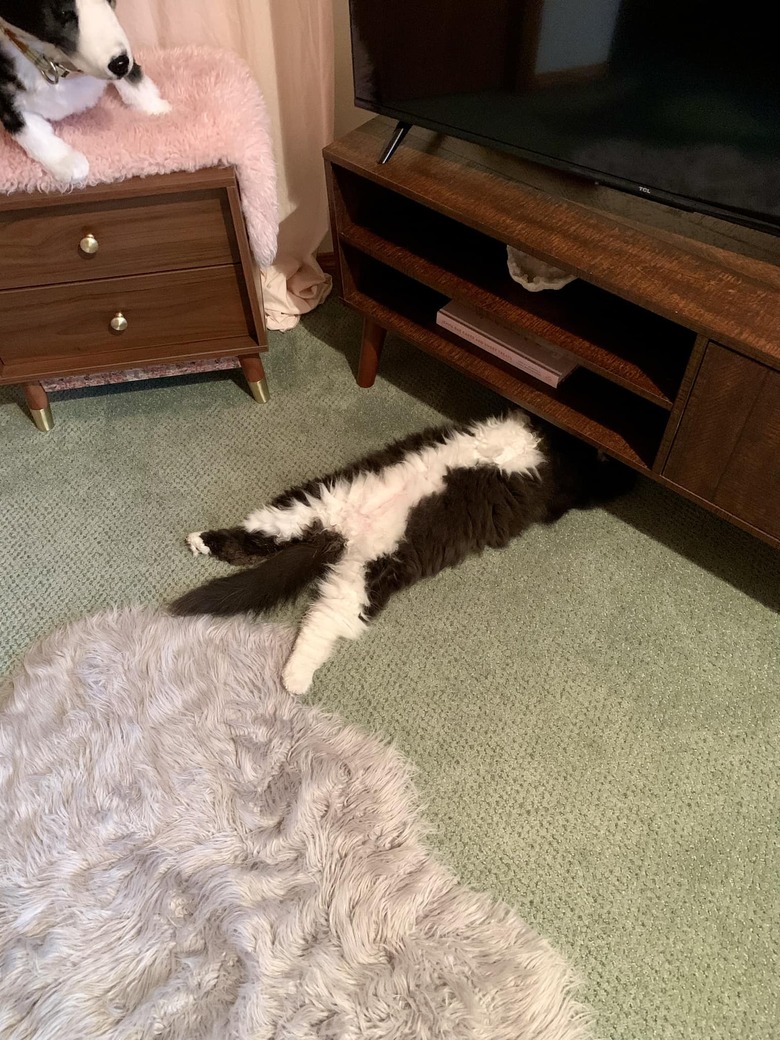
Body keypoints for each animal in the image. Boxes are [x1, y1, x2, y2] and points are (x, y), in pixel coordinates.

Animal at [0, 0, 169, 183]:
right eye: (63, 12)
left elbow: (133, 76)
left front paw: (154, 104)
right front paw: (67, 162)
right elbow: (30, 131)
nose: (119, 64)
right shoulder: (7, 97)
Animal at [172, 409, 636, 694]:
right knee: (310, 618)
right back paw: (295, 679)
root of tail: (341, 534)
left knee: (263, 552)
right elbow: (605, 480)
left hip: (327, 538)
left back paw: (203, 543)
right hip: (343, 546)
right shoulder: (572, 487)